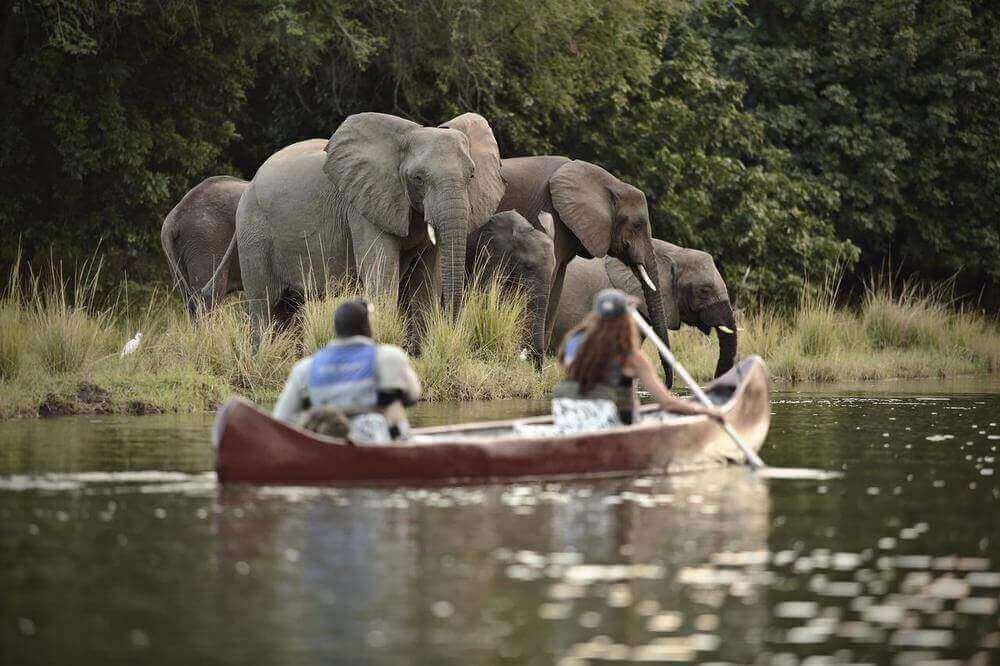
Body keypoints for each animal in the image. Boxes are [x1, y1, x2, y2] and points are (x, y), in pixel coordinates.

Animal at [203, 112, 504, 340]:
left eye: (472, 175)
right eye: (418, 178)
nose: (454, 330)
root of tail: (249, 183)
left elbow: (426, 282)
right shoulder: (361, 207)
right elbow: (382, 275)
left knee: (287, 307)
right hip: (253, 231)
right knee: (264, 303)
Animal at [498, 156, 676, 382]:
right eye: (637, 225)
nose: (668, 384)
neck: (611, 184)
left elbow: (556, 285)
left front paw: (539, 373)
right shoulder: (551, 216)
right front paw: (535, 369)